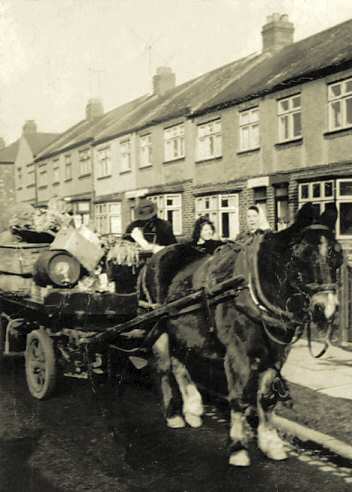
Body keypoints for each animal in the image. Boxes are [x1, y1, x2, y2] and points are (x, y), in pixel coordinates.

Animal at [141, 203, 344, 466]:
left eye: (337, 254)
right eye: (301, 255)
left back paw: (192, 408)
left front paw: (270, 444)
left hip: (182, 330)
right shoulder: (237, 353)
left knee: (178, 363)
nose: (325, 308)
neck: (251, 288)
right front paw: (238, 447)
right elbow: (237, 398)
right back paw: (173, 414)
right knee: (165, 368)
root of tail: (155, 257)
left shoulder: (277, 353)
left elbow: (266, 398)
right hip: (159, 327)